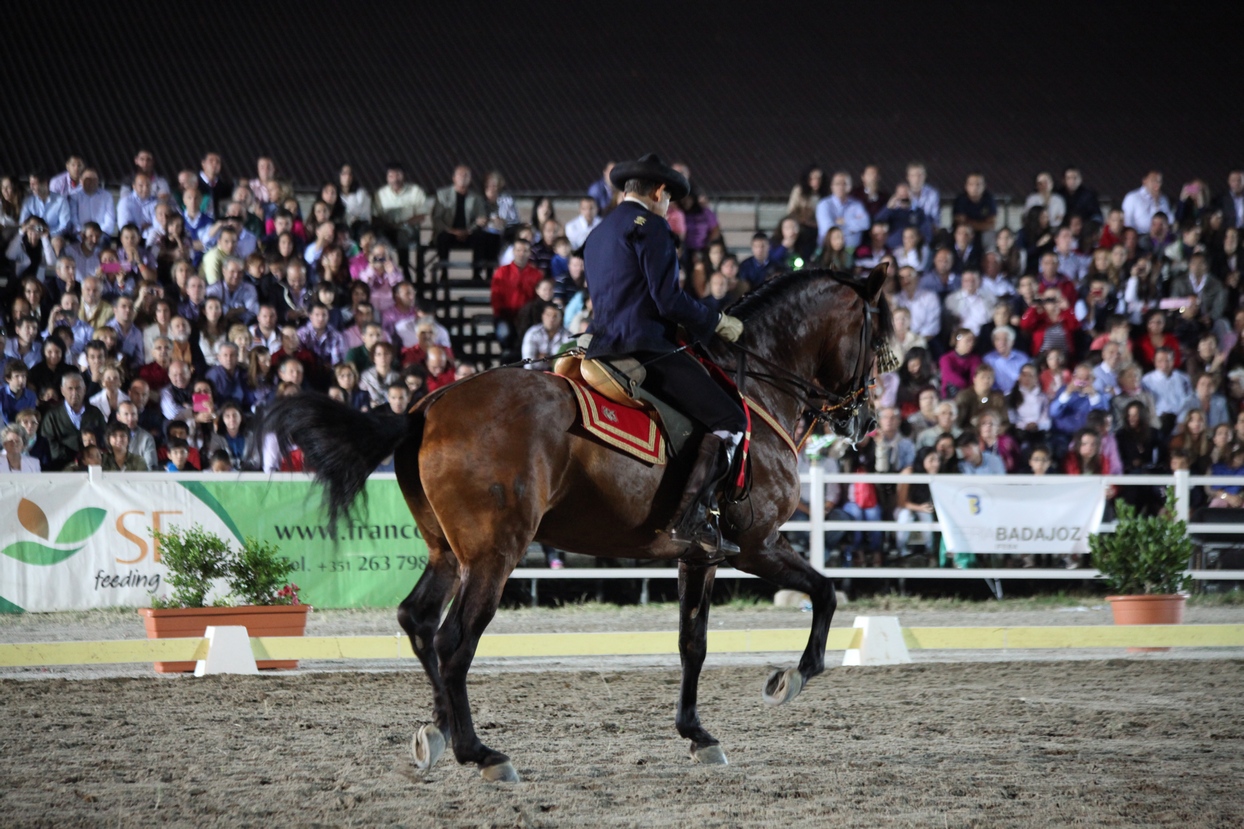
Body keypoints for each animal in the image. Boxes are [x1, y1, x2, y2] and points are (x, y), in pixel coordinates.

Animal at [267, 266, 895, 781]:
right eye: (880, 337)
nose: (865, 420)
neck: (756, 387)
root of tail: (425, 409)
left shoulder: (699, 556)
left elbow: (692, 642)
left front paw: (698, 735)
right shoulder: (756, 545)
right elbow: (824, 593)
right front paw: (792, 678)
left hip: (450, 553)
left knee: (418, 621)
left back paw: (439, 731)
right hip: (495, 555)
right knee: (454, 640)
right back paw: (481, 752)